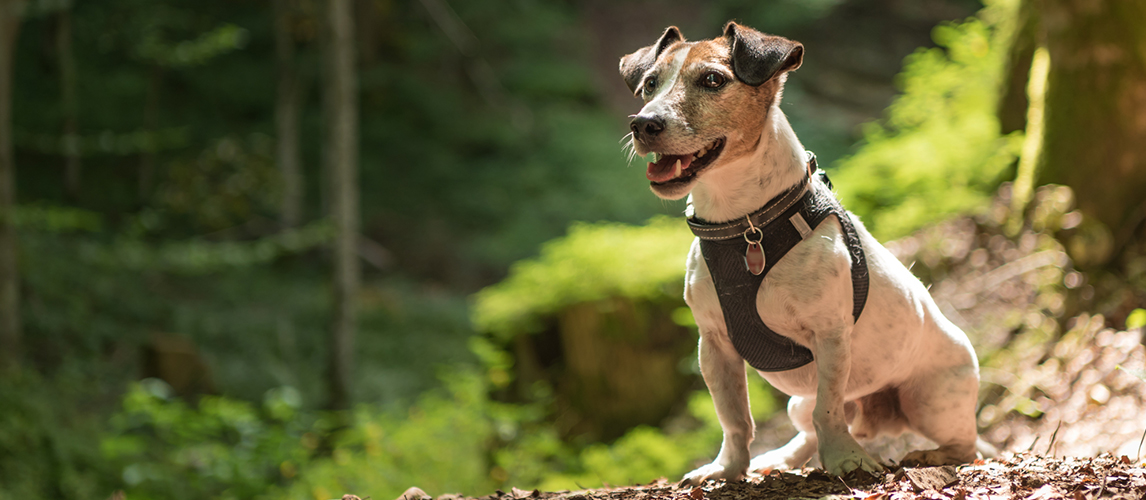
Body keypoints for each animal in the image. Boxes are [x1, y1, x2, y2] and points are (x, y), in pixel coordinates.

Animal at [618, 23, 985, 483]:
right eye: (650, 84)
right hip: (798, 402)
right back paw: (783, 458)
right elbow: (734, 418)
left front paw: (844, 460)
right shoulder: (714, 345)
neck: (746, 226)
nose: (643, 123)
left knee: (965, 445)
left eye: (713, 80)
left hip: (930, 400)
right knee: (813, 427)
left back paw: (926, 455)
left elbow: (828, 411)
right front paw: (727, 468)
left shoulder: (830, 336)